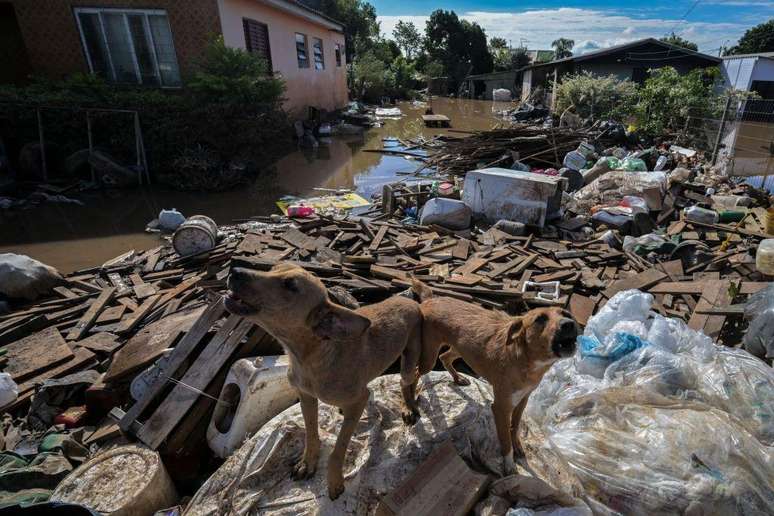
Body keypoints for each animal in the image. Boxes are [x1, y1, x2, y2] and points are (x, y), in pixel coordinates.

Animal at [224, 264, 424, 498]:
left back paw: (408, 406)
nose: (234, 270)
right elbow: (311, 432)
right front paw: (307, 462)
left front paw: (335, 481)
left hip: (409, 360)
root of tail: (410, 300)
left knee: (408, 380)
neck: (309, 358)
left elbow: (339, 448)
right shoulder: (306, 397)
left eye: (290, 285)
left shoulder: (357, 400)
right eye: (273, 268)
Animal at [416, 282, 580, 476]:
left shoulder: (524, 398)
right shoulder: (501, 408)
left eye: (566, 314)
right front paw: (509, 464)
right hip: (429, 355)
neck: (525, 361)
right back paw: (410, 405)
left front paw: (518, 445)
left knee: (445, 357)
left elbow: (515, 426)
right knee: (415, 373)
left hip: (460, 348)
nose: (569, 324)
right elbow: (505, 439)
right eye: (540, 319)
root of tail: (431, 298)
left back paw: (458, 379)